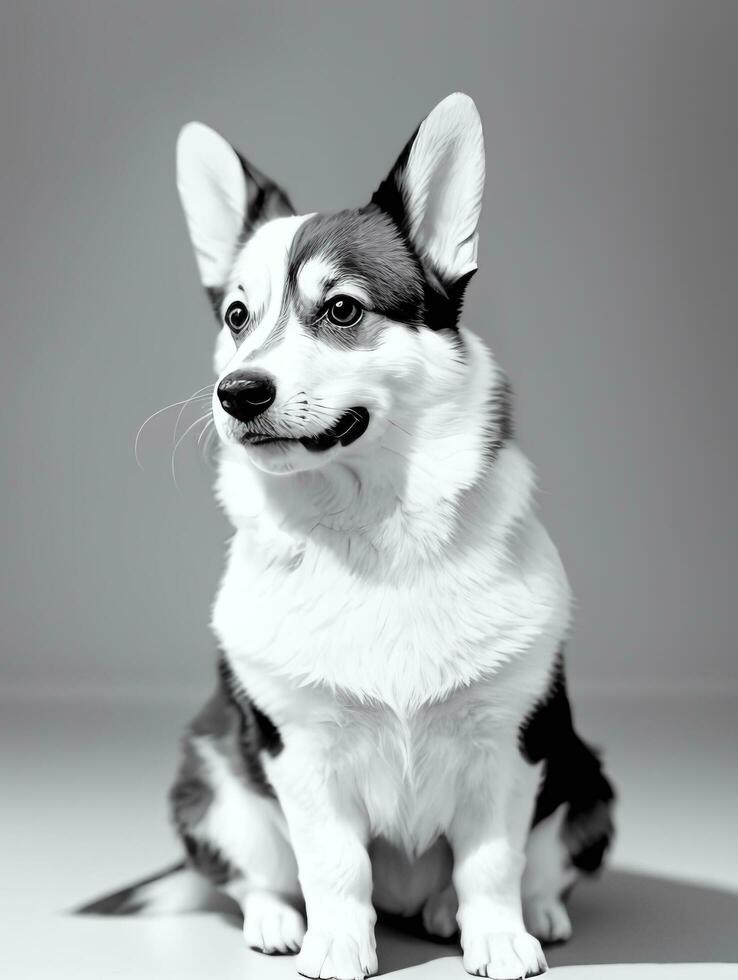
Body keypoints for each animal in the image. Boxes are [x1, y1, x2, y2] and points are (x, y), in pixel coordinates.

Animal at [77, 94, 612, 980]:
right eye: (237, 317)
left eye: (342, 310)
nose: (237, 392)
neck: (370, 529)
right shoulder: (300, 751)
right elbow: (333, 865)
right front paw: (335, 946)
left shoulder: (506, 745)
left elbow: (492, 861)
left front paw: (499, 937)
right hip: (213, 781)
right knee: (254, 875)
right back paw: (278, 920)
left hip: (591, 783)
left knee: (536, 864)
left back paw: (503, 912)